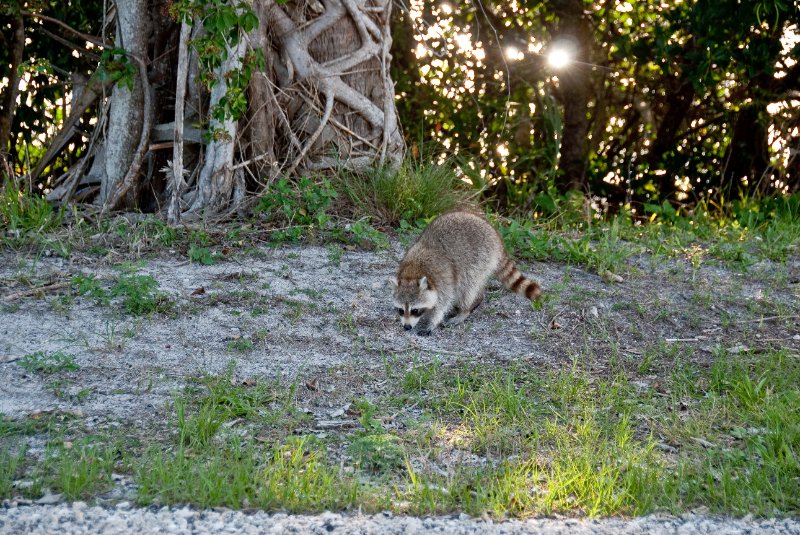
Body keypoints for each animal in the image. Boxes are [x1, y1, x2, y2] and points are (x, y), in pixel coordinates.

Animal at [390, 209, 540, 336]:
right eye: (401, 310)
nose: (407, 327)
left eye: (415, 310)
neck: (412, 272)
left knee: (467, 285)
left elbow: (444, 302)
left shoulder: (443, 278)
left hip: (481, 257)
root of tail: (495, 235)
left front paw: (433, 321)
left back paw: (465, 310)